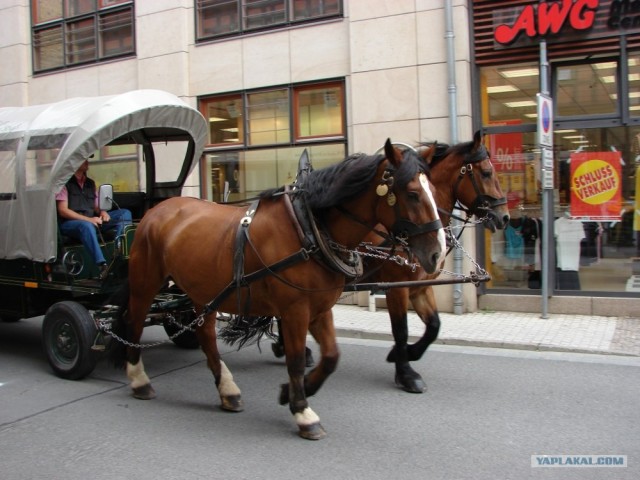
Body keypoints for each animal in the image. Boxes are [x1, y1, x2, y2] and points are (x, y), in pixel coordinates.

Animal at [109, 141, 444, 440]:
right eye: (412, 194)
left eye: (434, 189)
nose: (437, 255)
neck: (310, 229)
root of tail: (157, 210)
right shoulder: (295, 311)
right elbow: (295, 359)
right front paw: (303, 411)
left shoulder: (319, 308)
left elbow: (331, 357)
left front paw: (293, 392)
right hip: (145, 282)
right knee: (134, 322)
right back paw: (139, 380)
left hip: (203, 290)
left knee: (204, 333)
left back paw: (227, 389)